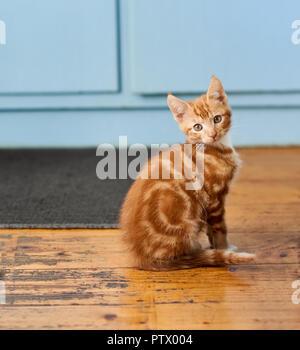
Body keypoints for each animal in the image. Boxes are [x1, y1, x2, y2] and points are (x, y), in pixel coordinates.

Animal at [118, 75, 254, 270]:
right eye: (197, 127)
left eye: (217, 119)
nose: (212, 134)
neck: (215, 147)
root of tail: (141, 256)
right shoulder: (215, 197)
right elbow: (220, 228)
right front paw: (224, 248)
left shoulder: (209, 204)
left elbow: (210, 229)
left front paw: (216, 247)